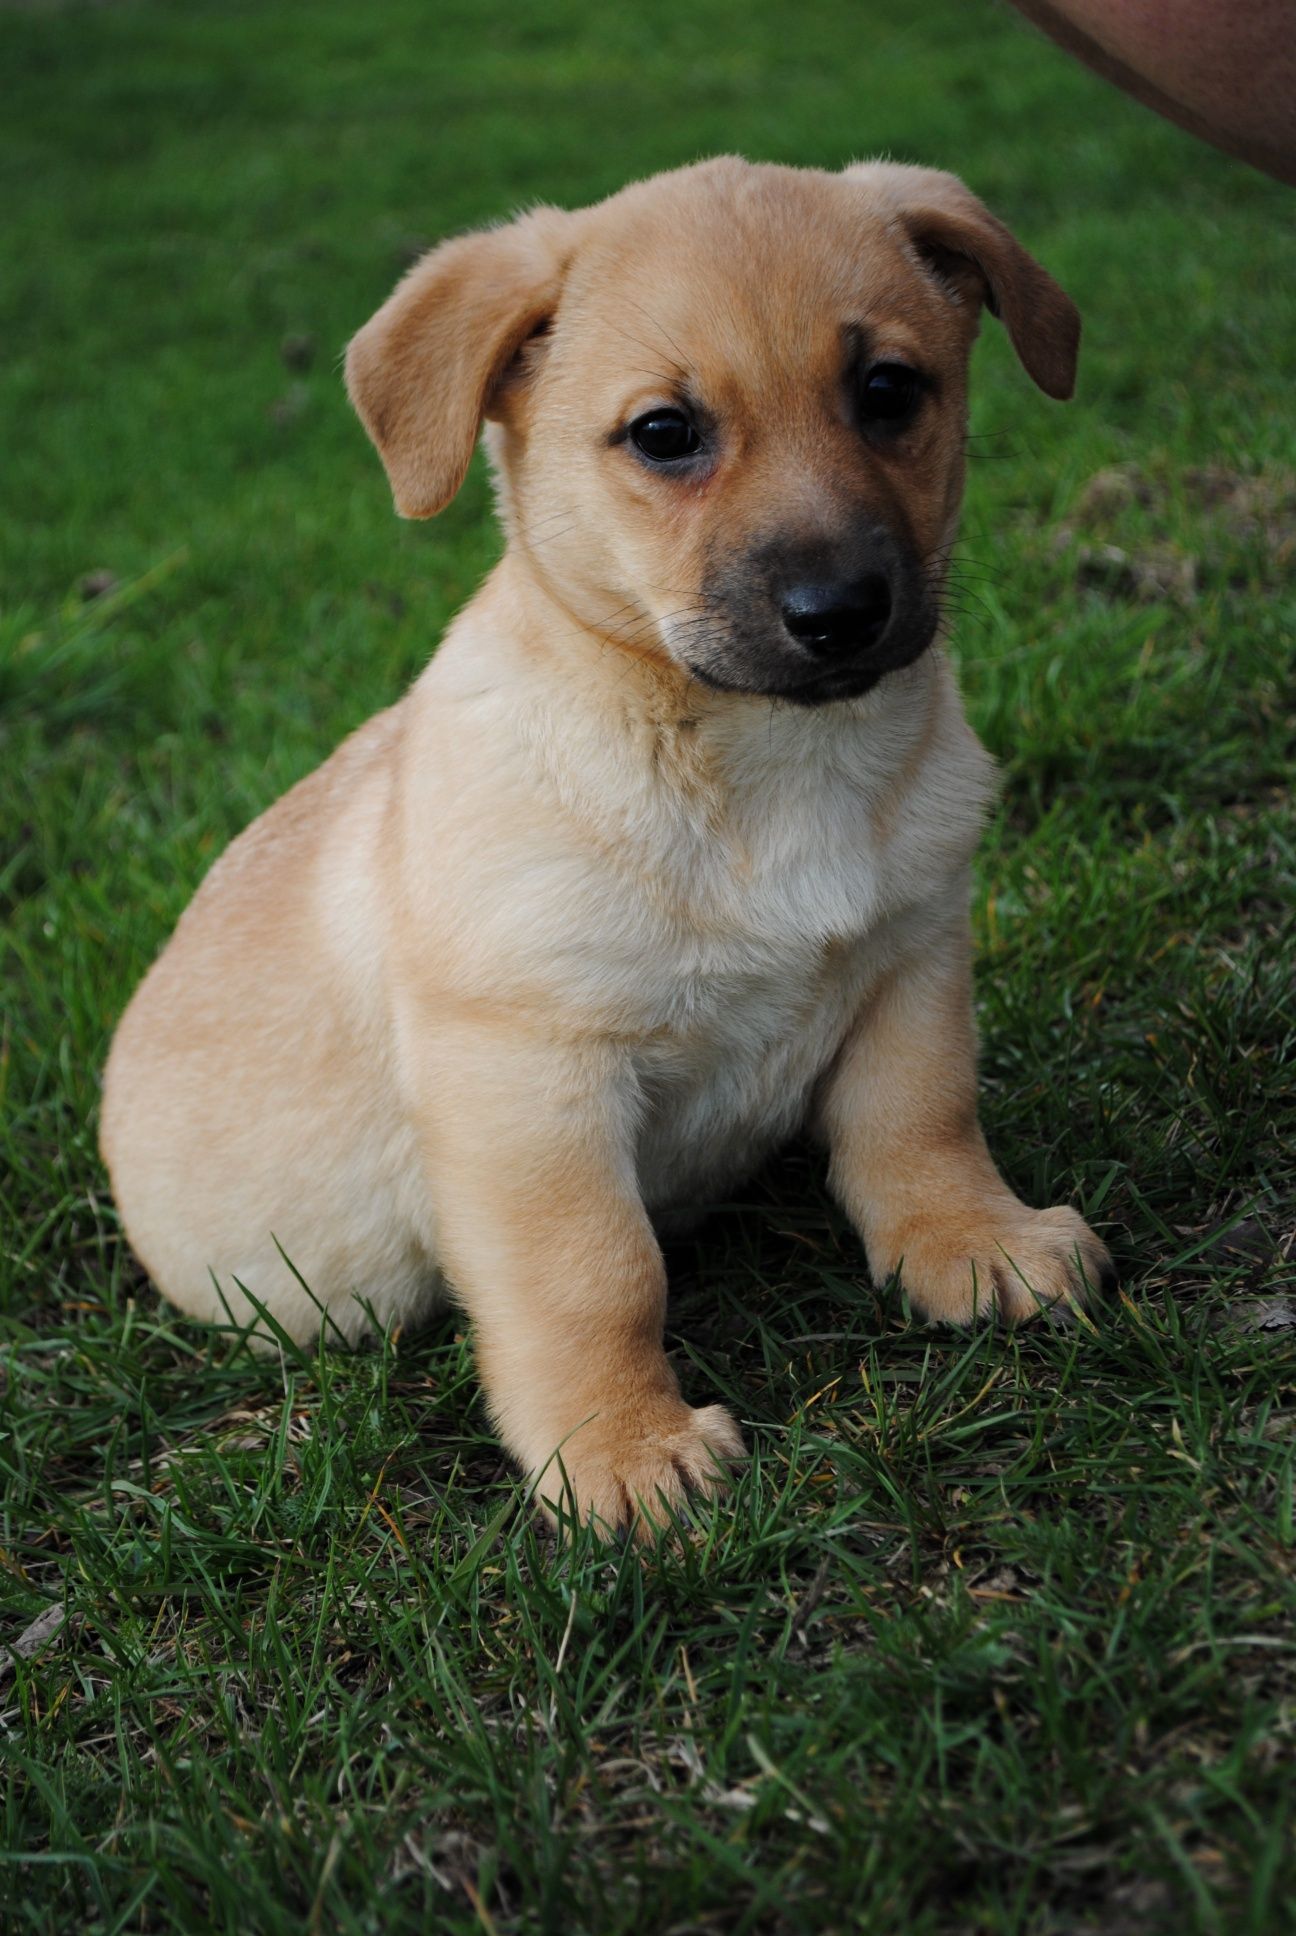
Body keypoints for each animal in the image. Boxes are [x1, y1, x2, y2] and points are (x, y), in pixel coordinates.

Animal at [101, 158, 1115, 1533]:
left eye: (889, 392)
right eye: (665, 433)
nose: (841, 613)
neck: (758, 765)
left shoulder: (910, 963)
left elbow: (923, 1124)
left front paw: (976, 1241)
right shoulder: (532, 1083)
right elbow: (597, 1274)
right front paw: (619, 1449)